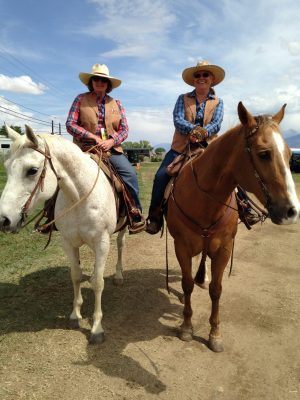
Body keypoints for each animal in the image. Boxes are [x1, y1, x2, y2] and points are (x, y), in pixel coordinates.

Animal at [0, 126, 126, 344]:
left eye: (32, 170)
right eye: (6, 167)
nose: (4, 220)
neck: (79, 196)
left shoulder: (102, 243)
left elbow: (97, 282)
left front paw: (97, 328)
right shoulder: (68, 242)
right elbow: (76, 276)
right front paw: (75, 315)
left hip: (122, 229)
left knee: (120, 245)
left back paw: (119, 275)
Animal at [168, 101, 298, 352]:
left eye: (289, 154)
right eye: (264, 154)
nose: (291, 212)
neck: (204, 198)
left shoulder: (224, 249)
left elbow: (216, 289)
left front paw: (215, 334)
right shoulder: (182, 246)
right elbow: (187, 284)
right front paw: (187, 327)